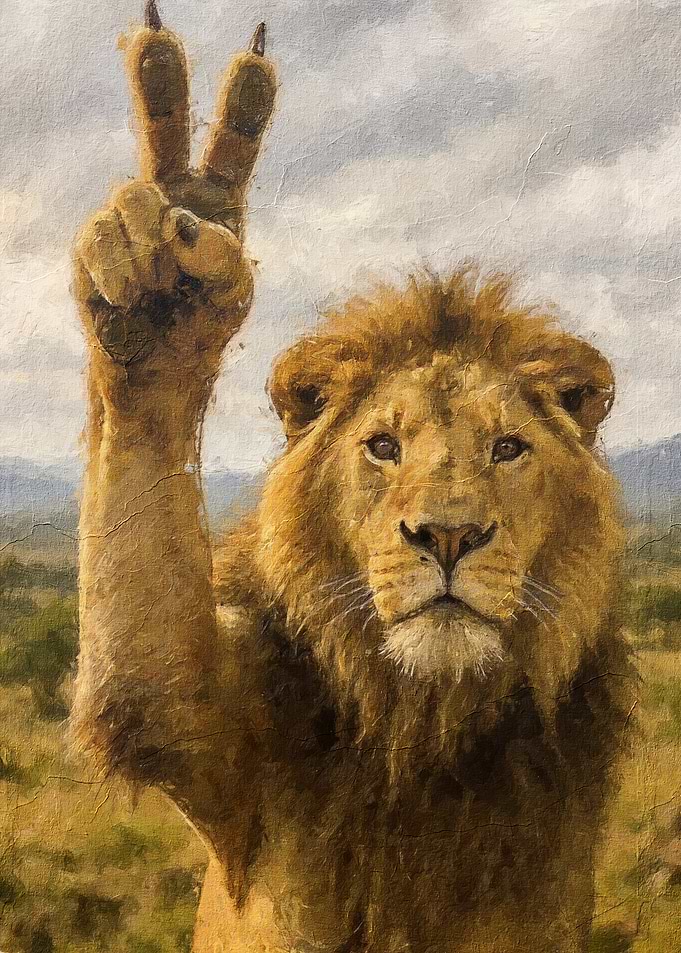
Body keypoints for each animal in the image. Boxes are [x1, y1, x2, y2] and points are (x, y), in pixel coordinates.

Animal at [71, 4, 636, 952]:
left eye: (507, 449)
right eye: (382, 447)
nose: (448, 534)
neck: (426, 726)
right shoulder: (206, 717)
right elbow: (148, 671)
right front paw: (166, 284)